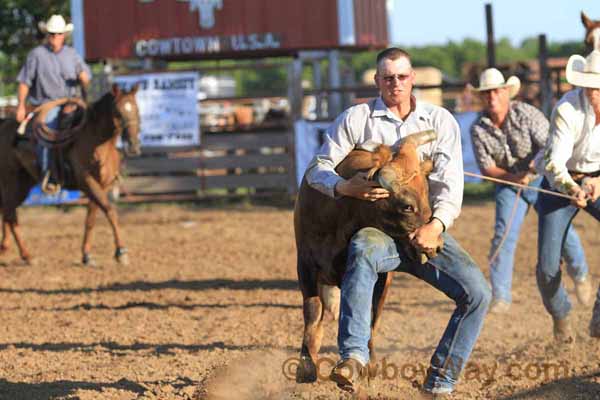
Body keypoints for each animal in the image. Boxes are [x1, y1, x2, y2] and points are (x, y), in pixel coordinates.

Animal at [0, 84, 142, 266]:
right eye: (118, 112)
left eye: (136, 109)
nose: (133, 146)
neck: (97, 142)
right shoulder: (87, 181)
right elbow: (109, 210)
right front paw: (121, 252)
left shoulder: (102, 185)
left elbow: (91, 219)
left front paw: (86, 255)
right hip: (10, 181)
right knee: (10, 214)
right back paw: (27, 256)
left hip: (23, 184)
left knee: (8, 212)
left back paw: (8, 249)